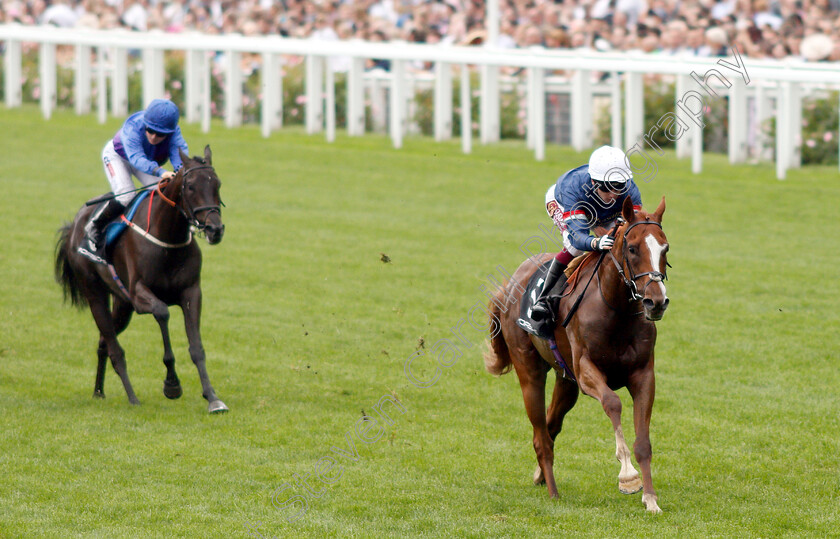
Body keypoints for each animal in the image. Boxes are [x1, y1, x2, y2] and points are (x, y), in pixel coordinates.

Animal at [55, 147, 228, 414]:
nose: (215, 229)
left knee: (104, 342)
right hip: (95, 293)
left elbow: (197, 348)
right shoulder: (138, 295)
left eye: (216, 183)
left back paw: (98, 391)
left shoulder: (191, 292)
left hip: (122, 304)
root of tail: (74, 225)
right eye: (190, 186)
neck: (167, 237)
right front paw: (172, 384)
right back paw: (133, 397)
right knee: (115, 348)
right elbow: (163, 313)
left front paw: (212, 398)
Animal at [486, 197, 668, 516]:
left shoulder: (644, 375)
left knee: (550, 426)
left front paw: (650, 498)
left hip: (565, 379)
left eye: (665, 248)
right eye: (633, 248)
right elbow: (613, 402)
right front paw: (627, 477)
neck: (616, 310)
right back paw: (553, 491)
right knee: (540, 436)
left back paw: (540, 476)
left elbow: (643, 442)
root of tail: (510, 284)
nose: (655, 302)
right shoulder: (585, 372)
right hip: (530, 371)